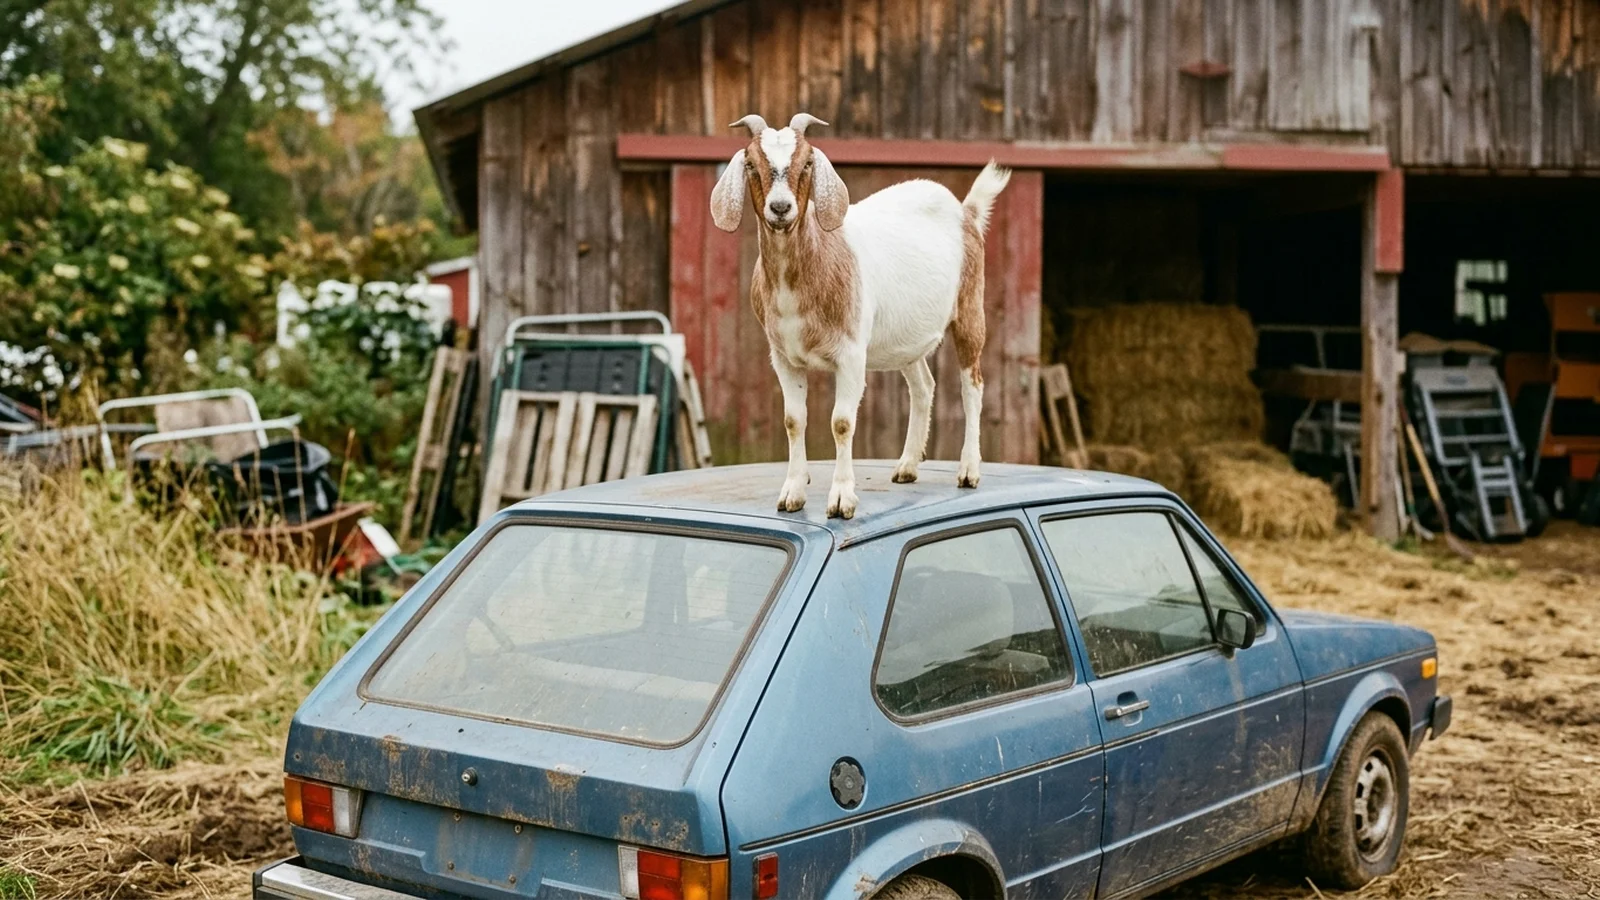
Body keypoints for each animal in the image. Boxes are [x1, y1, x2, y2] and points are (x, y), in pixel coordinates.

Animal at [710, 111, 1011, 519]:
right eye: (751, 165)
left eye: (807, 162)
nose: (781, 208)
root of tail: (966, 211)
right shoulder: (783, 356)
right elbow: (793, 420)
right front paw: (792, 492)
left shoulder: (851, 353)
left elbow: (841, 422)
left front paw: (841, 499)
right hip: (906, 339)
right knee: (923, 386)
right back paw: (907, 466)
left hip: (969, 311)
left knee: (973, 386)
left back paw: (969, 470)